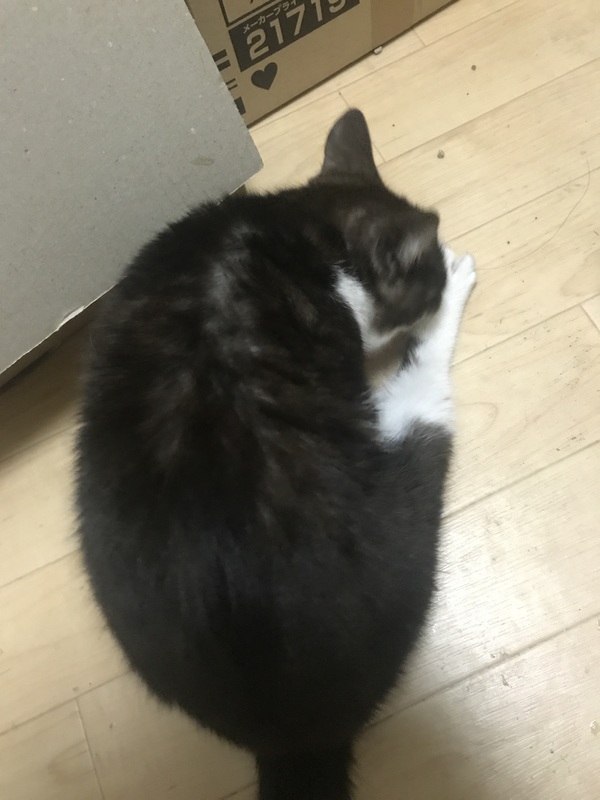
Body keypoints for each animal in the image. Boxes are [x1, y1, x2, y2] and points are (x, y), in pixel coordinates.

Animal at [75, 109, 476, 800]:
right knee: (425, 390)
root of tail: (292, 734)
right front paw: (449, 277)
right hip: (409, 455)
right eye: (419, 287)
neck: (307, 232)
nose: (436, 283)